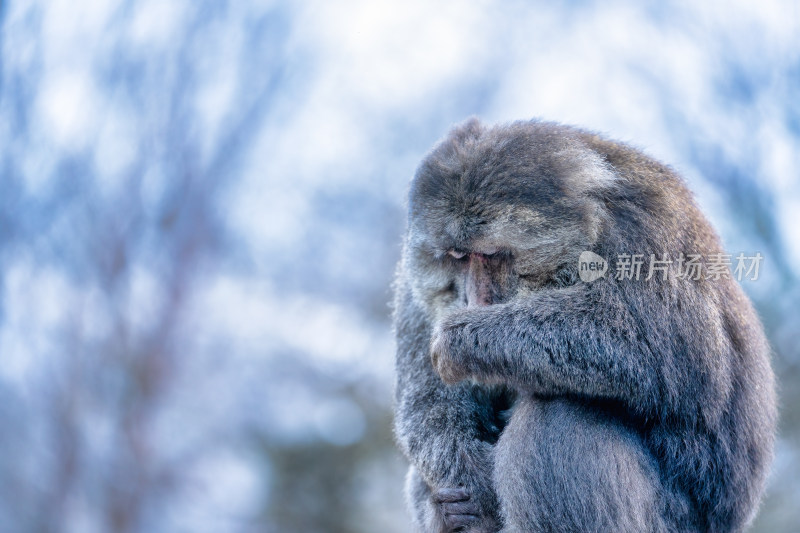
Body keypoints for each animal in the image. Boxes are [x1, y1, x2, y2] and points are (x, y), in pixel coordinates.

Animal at [392, 119, 776, 532]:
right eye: (458, 257)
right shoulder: (413, 290)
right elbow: (425, 401)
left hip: (670, 520)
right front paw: (468, 488)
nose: (474, 300)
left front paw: (463, 338)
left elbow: (674, 354)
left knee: (558, 417)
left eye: (492, 255)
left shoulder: (640, 231)